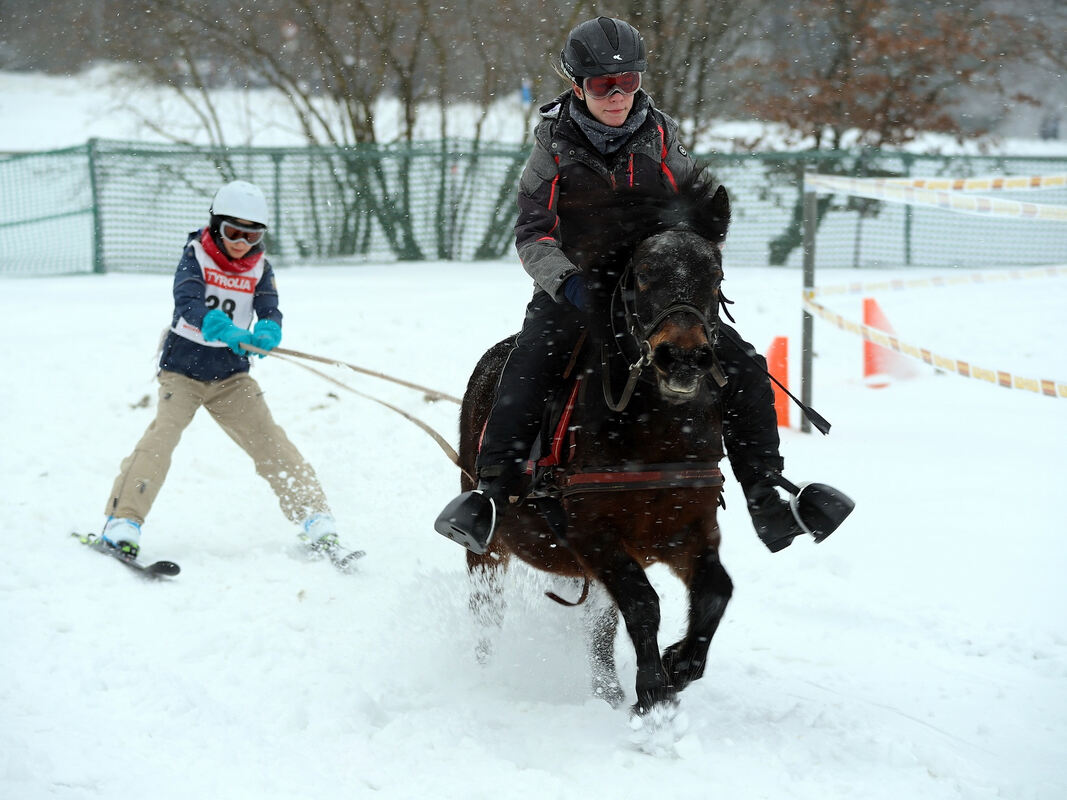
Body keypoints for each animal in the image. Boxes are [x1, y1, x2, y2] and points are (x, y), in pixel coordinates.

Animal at [458, 172, 734, 716]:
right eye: (644, 274)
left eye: (715, 276)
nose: (683, 358)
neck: (654, 436)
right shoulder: (592, 534)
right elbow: (644, 603)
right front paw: (652, 689)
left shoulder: (687, 528)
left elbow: (716, 590)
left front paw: (679, 666)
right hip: (488, 549)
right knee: (486, 611)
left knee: (599, 628)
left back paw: (607, 691)